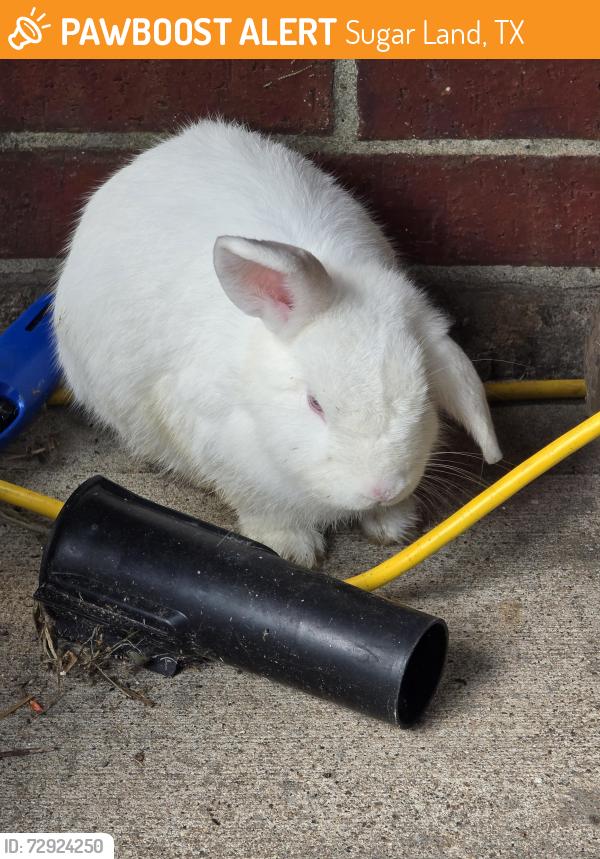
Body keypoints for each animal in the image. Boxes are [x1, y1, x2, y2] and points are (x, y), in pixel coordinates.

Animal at [53, 119, 501, 568]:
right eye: (315, 404)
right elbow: (265, 510)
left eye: (423, 396)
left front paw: (393, 525)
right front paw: (293, 550)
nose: (380, 488)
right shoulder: (221, 450)